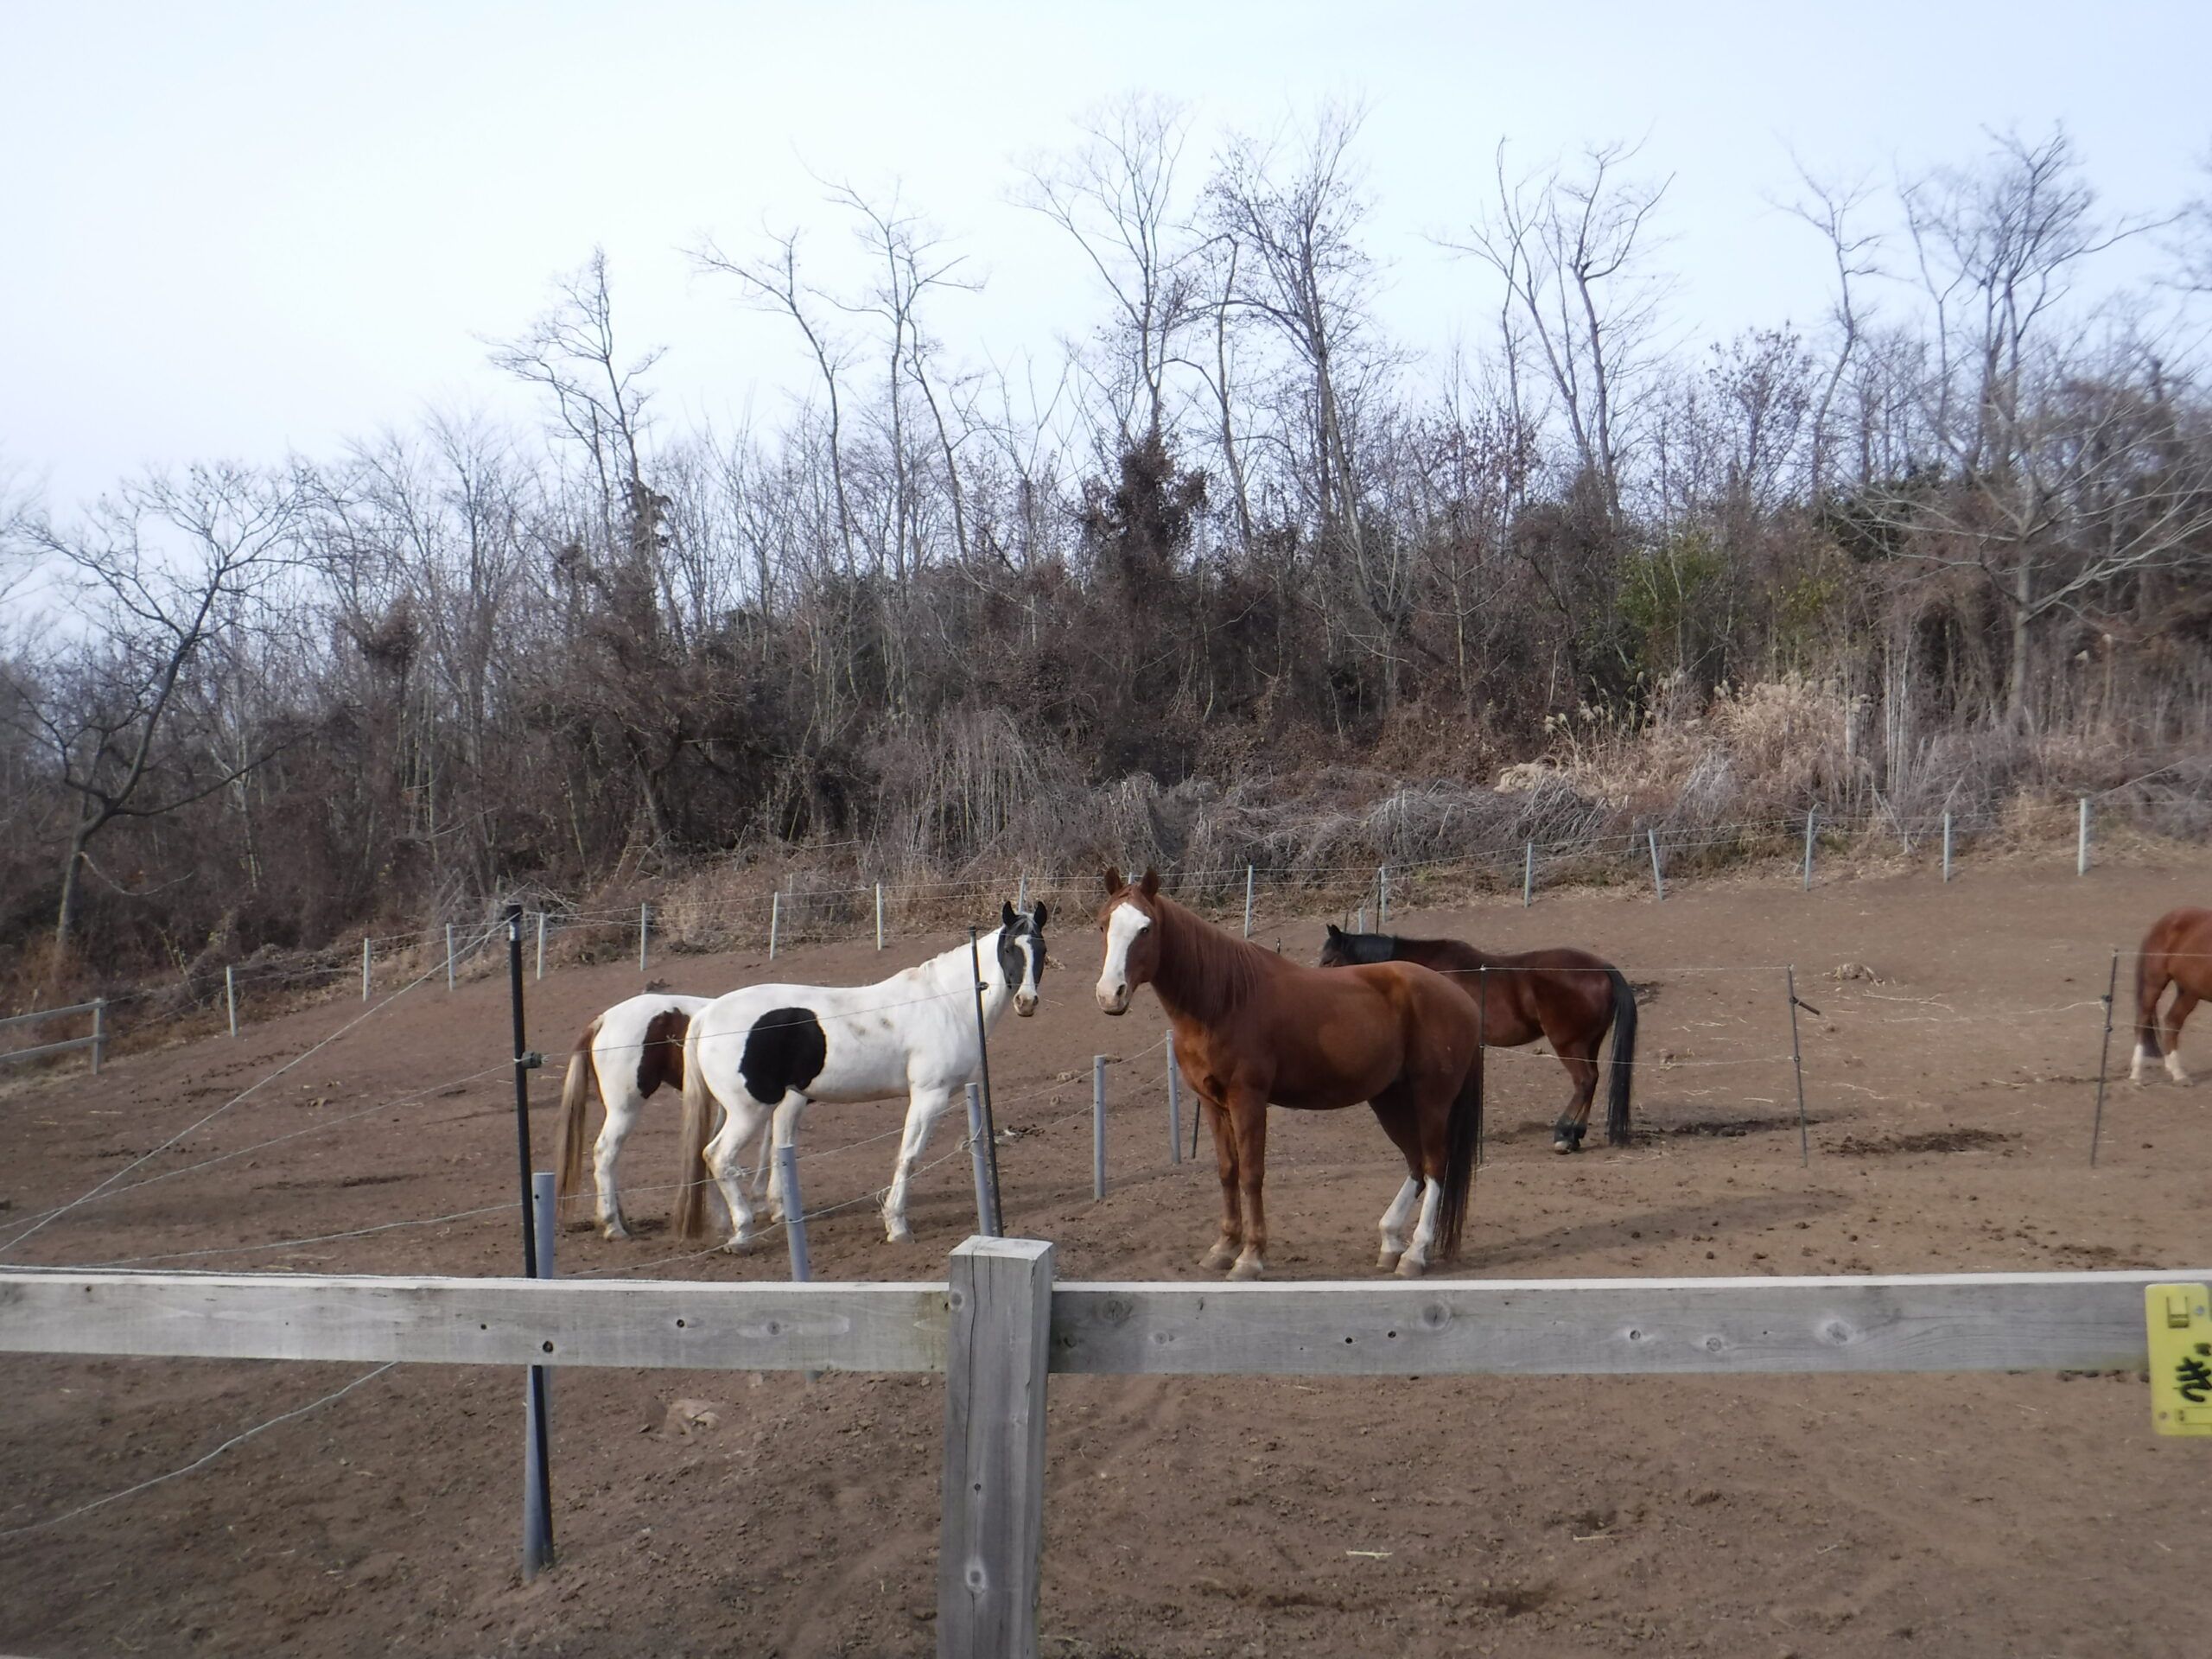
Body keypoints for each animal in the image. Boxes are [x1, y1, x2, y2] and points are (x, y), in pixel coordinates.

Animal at [672, 911, 1044, 1247]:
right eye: (1010, 948)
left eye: (1040, 949)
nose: (1026, 1002)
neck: (946, 1002)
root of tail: (707, 1015)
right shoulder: (929, 1096)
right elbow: (908, 1157)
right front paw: (897, 1225)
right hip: (749, 1111)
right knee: (717, 1156)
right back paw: (742, 1233)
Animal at [1092, 871, 1486, 1282]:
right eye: (1103, 925)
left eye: (1146, 928)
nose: (1110, 994)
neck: (1224, 999)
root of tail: (1460, 997)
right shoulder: (1212, 1102)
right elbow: (1227, 1171)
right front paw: (1223, 1248)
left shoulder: (1248, 1100)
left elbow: (1251, 1174)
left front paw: (1250, 1257)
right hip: (1389, 1099)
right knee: (1415, 1163)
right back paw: (1391, 1242)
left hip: (1432, 1100)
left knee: (1435, 1163)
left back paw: (1416, 1253)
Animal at [1318, 925, 1637, 1159]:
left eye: (1328, 960)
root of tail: (1602, 968)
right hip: (1588, 1044)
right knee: (1592, 1080)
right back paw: (1575, 1135)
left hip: (1569, 1045)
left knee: (1584, 1080)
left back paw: (1564, 1136)